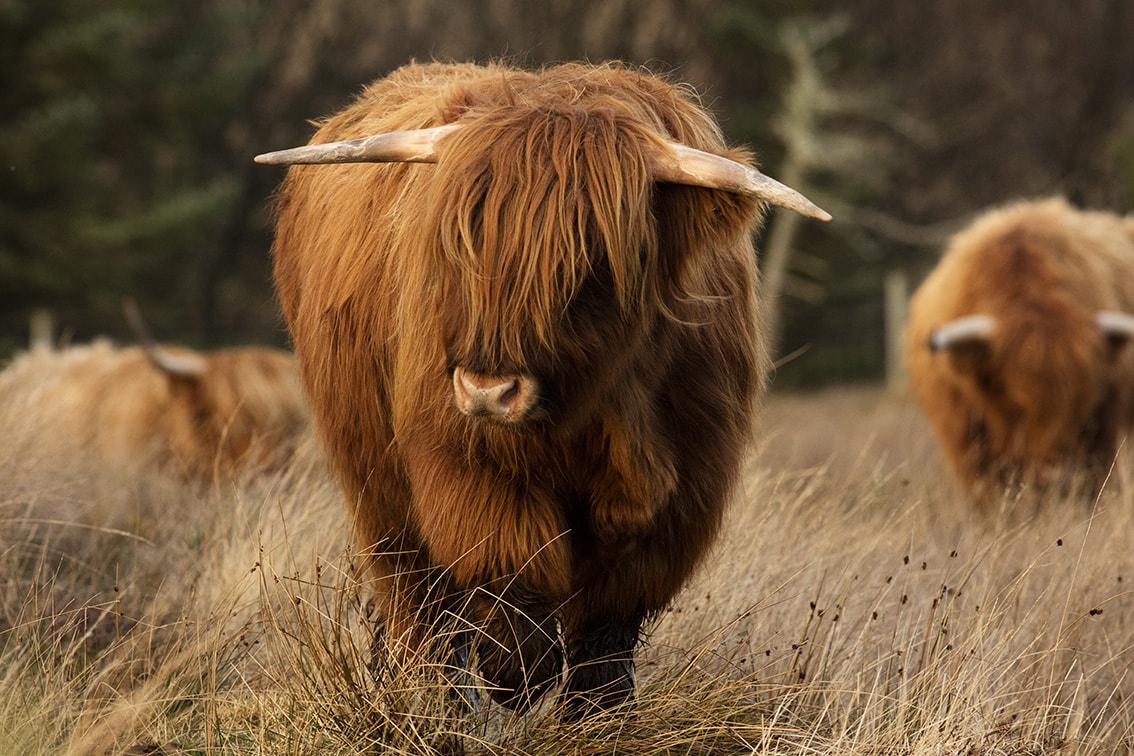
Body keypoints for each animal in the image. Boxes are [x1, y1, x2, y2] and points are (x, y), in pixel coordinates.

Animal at [259, 62, 834, 720]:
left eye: (588, 263)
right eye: (457, 247)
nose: (488, 391)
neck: (603, 404)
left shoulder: (684, 489)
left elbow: (609, 624)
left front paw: (598, 715)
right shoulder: (467, 463)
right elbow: (513, 570)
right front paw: (513, 671)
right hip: (375, 481)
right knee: (416, 602)